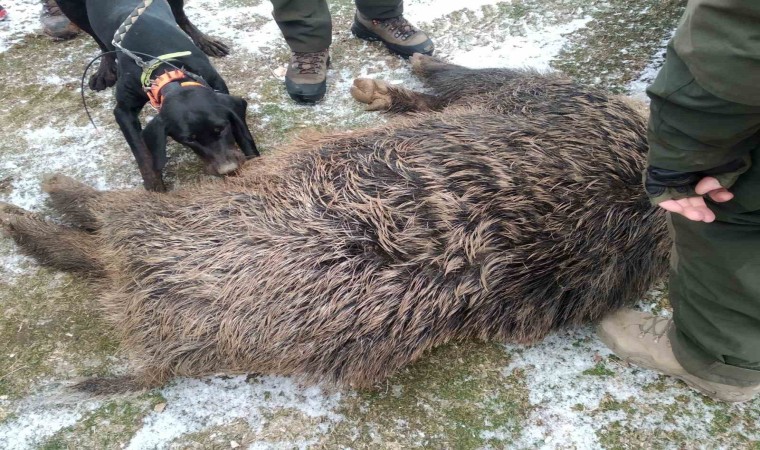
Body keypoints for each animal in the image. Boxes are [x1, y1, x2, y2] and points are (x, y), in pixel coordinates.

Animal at [55, 0, 260, 192]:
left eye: (221, 129)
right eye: (189, 139)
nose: (228, 169)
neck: (166, 72)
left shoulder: (218, 88)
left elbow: (242, 131)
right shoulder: (123, 111)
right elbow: (142, 154)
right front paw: (155, 187)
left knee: (181, 17)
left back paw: (205, 41)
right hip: (71, 9)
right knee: (100, 42)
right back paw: (104, 70)